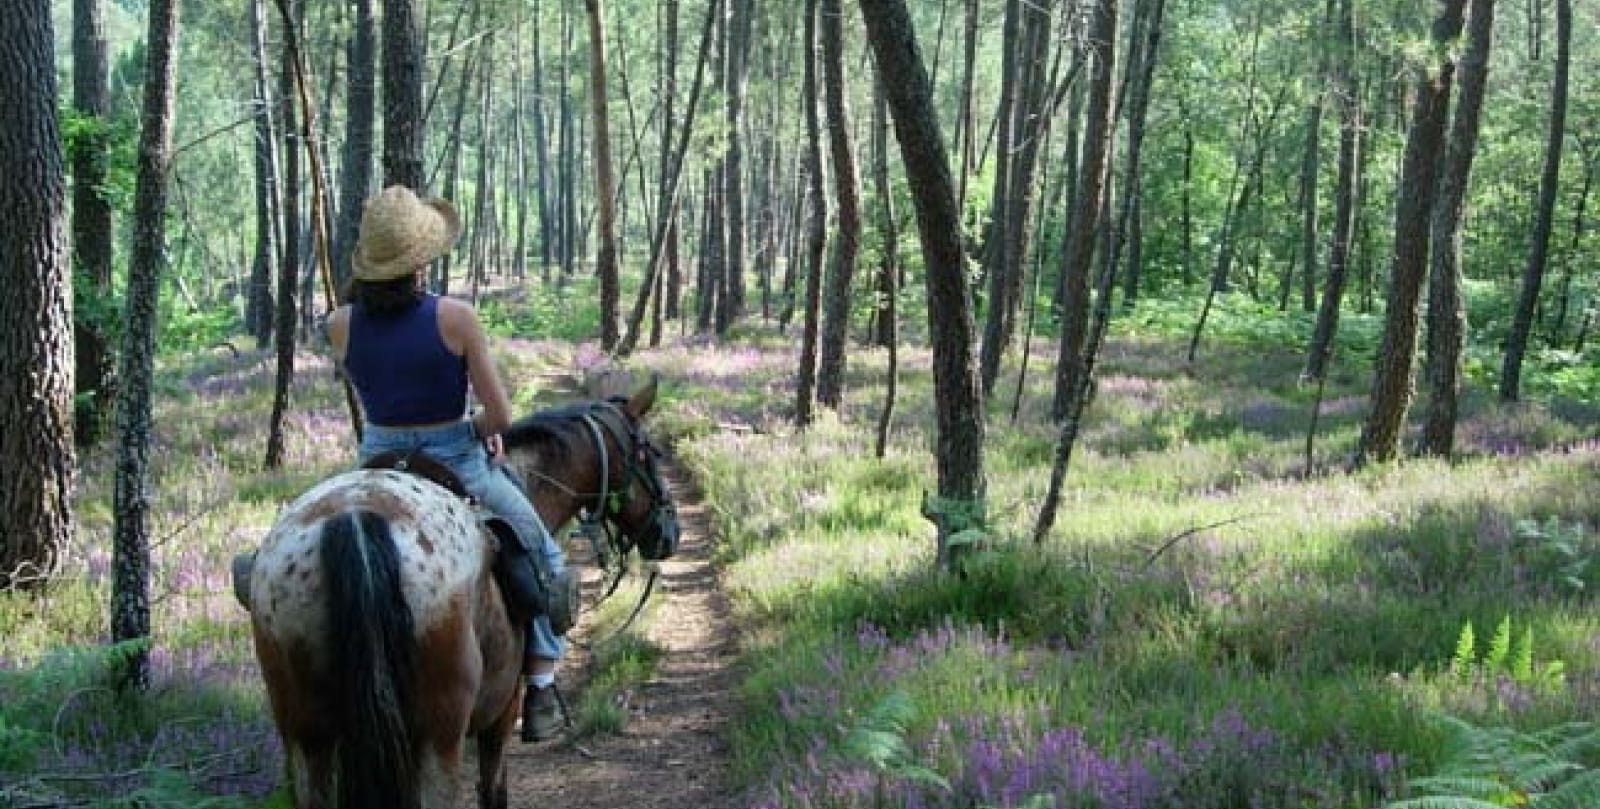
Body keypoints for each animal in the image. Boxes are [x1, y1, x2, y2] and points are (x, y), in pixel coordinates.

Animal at [244, 380, 675, 809]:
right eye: (650, 451)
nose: (669, 533)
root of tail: (355, 518)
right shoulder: (501, 715)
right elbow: (493, 790)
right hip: (439, 735)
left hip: (308, 736)